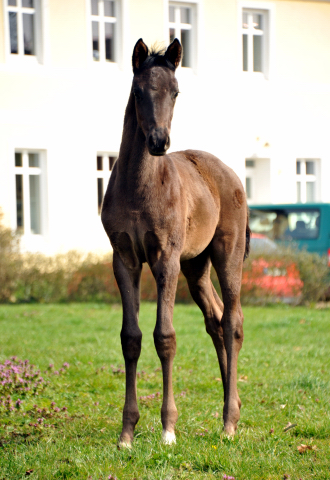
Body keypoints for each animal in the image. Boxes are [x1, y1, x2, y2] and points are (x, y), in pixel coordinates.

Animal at [101, 37, 250, 446]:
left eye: (176, 92)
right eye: (138, 91)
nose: (158, 142)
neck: (140, 187)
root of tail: (230, 173)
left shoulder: (165, 258)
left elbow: (164, 336)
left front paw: (168, 428)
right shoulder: (124, 259)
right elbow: (130, 338)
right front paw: (127, 432)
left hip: (227, 255)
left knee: (232, 321)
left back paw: (230, 422)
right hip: (195, 265)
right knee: (215, 318)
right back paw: (231, 406)